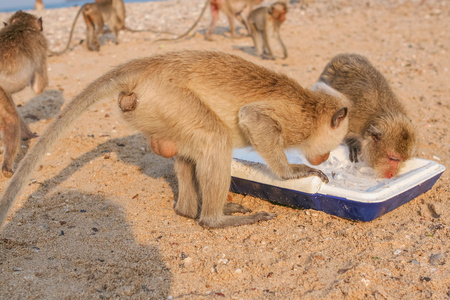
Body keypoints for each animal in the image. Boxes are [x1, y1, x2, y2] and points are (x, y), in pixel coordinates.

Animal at [0, 10, 48, 177]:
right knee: (11, 119)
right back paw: (7, 169)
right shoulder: (41, 45)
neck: (21, 25)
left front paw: (29, 135)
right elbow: (39, 87)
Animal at [0, 51, 348, 230]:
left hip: (155, 110)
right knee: (215, 139)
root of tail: (146, 66)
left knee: (189, 152)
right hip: (166, 98)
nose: (323, 157)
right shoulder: (294, 120)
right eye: (332, 145)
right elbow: (252, 117)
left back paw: (188, 210)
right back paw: (213, 219)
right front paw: (293, 173)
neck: (311, 109)